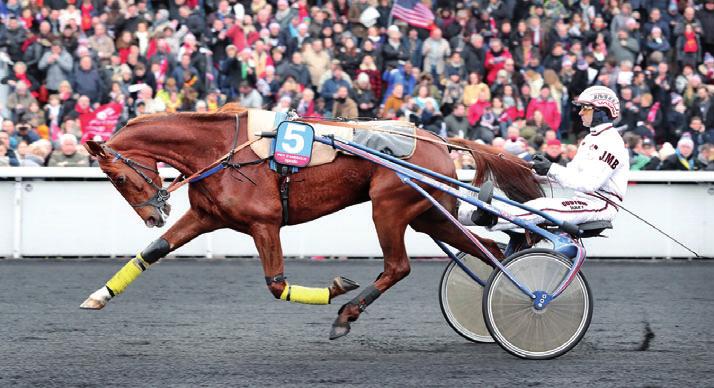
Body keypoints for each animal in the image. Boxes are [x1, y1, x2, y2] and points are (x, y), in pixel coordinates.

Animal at [80, 104, 540, 338]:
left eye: (117, 177)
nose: (153, 215)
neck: (223, 150)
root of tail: (437, 140)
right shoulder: (206, 216)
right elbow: (153, 252)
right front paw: (99, 296)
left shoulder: (264, 224)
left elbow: (277, 285)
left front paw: (336, 288)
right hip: (429, 215)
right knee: (490, 251)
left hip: (388, 207)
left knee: (398, 266)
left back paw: (346, 315)